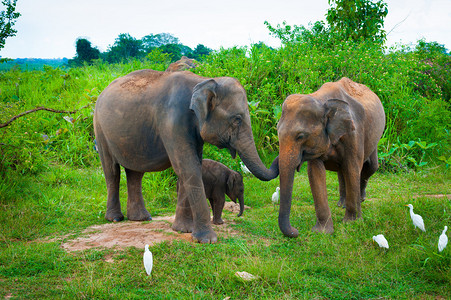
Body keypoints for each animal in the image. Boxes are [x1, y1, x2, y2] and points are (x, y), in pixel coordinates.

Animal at [93, 69, 278, 244]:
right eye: (237, 119)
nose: (276, 158)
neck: (203, 81)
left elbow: (190, 167)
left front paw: (183, 230)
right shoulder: (172, 122)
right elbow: (188, 167)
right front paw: (206, 240)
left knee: (135, 173)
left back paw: (141, 218)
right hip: (99, 128)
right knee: (112, 171)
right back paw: (115, 218)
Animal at [278, 77, 386, 237]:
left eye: (300, 136)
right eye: (277, 131)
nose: (296, 231)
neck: (320, 100)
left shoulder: (353, 133)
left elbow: (352, 168)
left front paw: (352, 223)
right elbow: (315, 173)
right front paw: (322, 232)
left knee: (371, 167)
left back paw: (360, 199)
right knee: (342, 171)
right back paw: (341, 204)